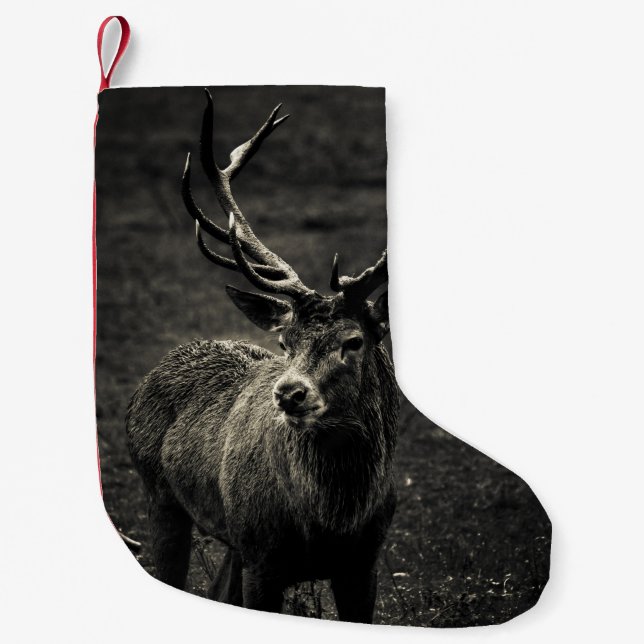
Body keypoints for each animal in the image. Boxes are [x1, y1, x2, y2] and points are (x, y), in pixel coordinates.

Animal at [125, 90, 399, 623]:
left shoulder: (365, 561)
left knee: (216, 592)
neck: (330, 521)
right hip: (162, 496)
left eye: (354, 341)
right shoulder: (263, 556)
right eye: (284, 342)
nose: (289, 393)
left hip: (230, 538)